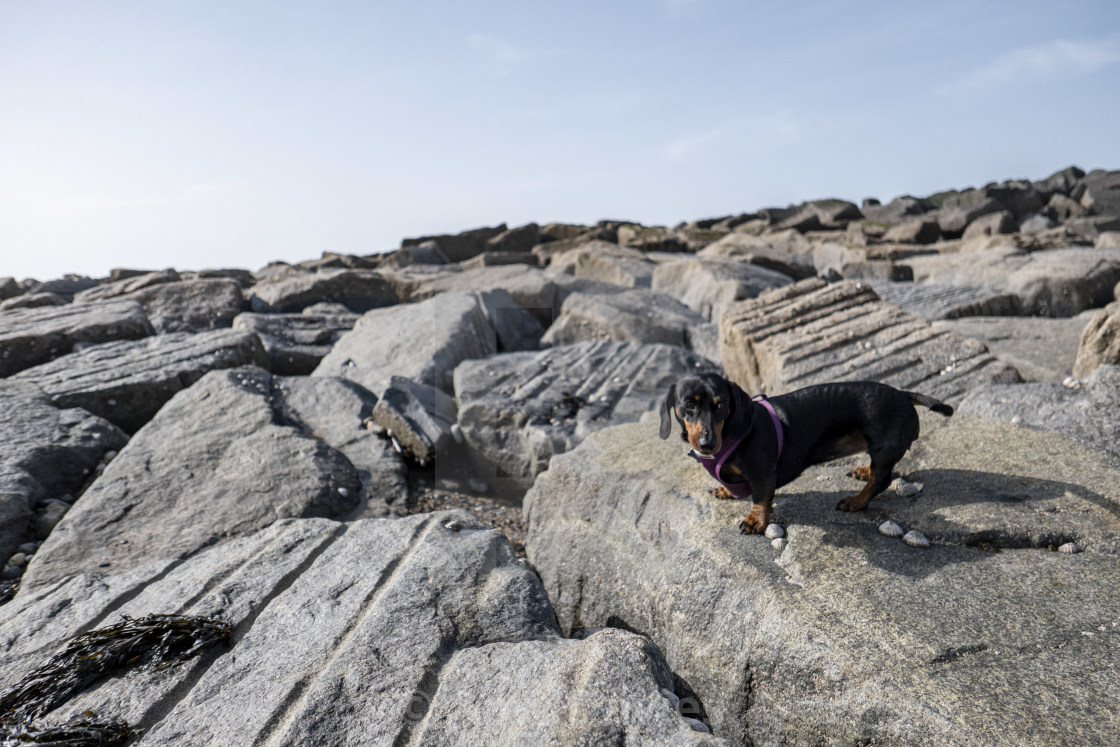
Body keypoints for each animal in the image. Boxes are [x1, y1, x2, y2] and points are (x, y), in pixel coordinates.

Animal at [658, 376, 949, 535]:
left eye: (722, 405)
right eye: (689, 404)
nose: (707, 443)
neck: (730, 435)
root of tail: (903, 394)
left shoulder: (762, 475)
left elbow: (760, 499)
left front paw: (756, 521)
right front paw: (726, 490)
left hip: (883, 448)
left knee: (882, 480)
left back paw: (856, 501)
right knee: (879, 473)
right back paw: (863, 471)